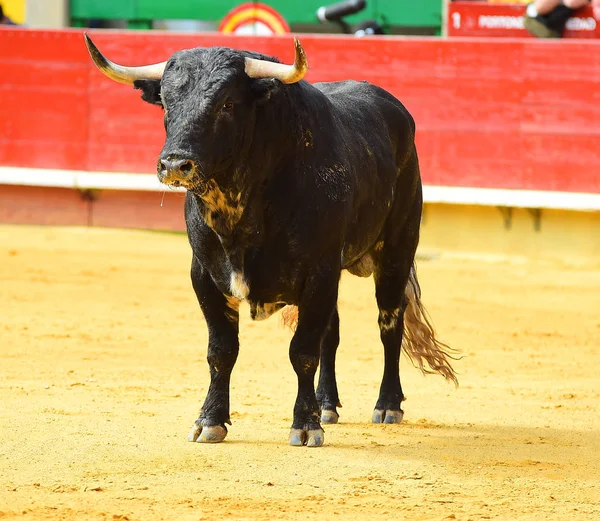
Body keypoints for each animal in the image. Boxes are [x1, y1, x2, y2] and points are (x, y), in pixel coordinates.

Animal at [85, 34, 460, 444]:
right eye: (167, 103)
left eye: (227, 103)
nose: (173, 165)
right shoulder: (204, 274)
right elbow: (222, 350)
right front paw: (210, 420)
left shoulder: (319, 272)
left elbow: (303, 352)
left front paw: (305, 425)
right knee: (333, 332)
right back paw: (327, 404)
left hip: (397, 251)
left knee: (388, 323)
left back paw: (387, 404)